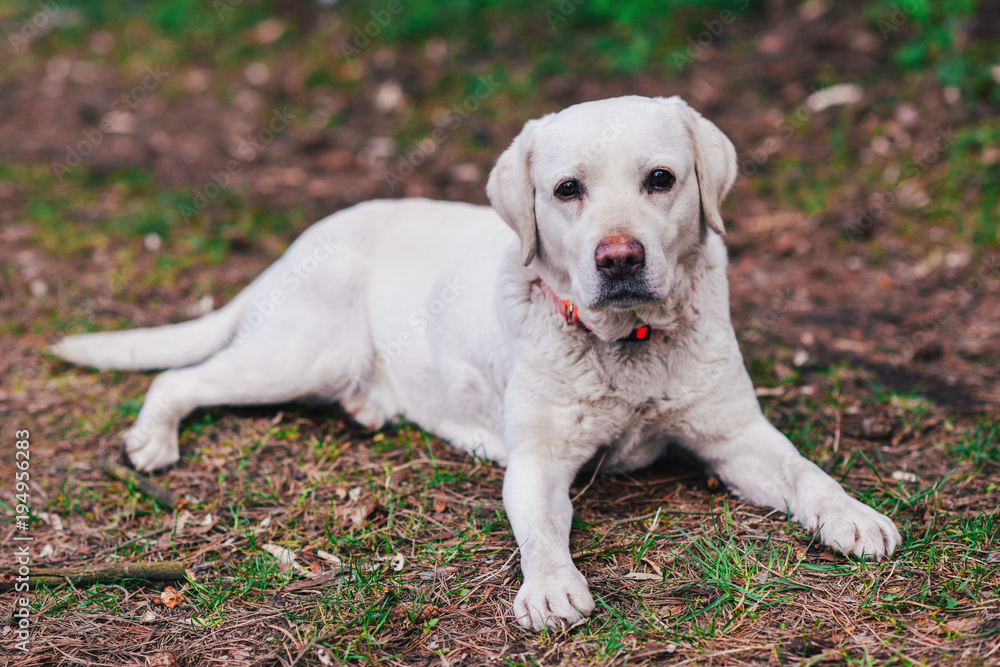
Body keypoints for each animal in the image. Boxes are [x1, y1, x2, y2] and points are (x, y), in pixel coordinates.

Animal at [50, 95, 904, 632]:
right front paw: (552, 586)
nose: (619, 257)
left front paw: (853, 513)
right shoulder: (537, 463)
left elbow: (806, 472)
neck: (625, 343)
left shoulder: (737, 438)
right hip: (301, 352)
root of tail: (300, 241)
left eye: (661, 179)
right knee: (182, 377)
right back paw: (154, 438)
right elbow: (542, 531)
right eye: (567, 190)